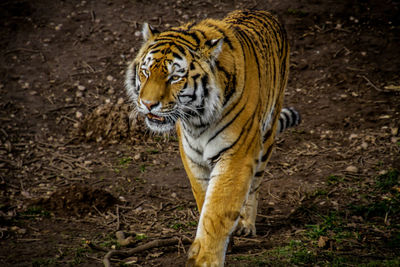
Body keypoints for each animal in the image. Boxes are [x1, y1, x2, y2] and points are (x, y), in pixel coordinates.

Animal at [125, 9, 300, 266]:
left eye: (174, 78)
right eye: (145, 72)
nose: (147, 104)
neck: (197, 119)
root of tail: (263, 11)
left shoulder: (235, 155)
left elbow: (218, 208)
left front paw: (205, 258)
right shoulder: (192, 157)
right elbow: (204, 199)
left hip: (267, 133)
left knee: (254, 185)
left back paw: (246, 224)